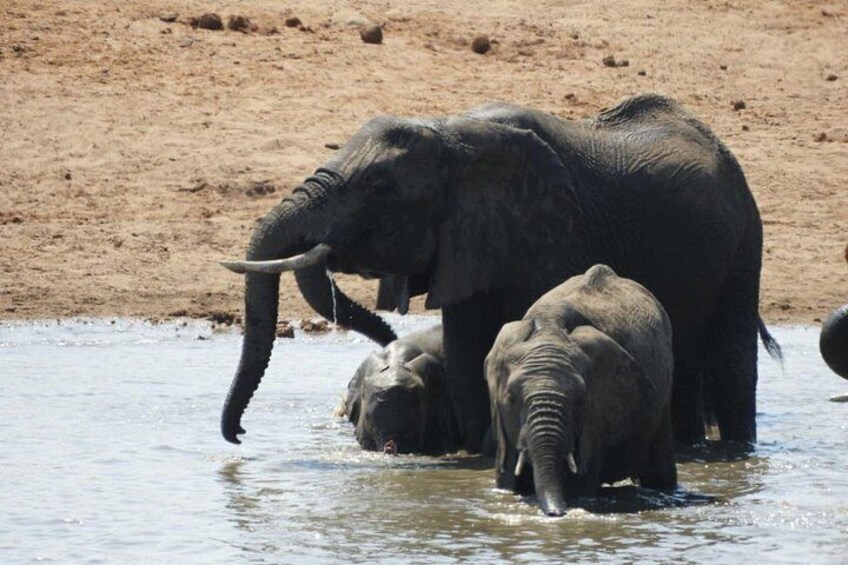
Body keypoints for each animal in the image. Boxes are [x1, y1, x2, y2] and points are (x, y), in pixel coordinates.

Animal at [485, 264, 677, 516]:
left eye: (579, 401)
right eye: (511, 399)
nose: (556, 514)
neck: (549, 326)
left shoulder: (597, 415)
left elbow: (581, 481)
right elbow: (508, 478)